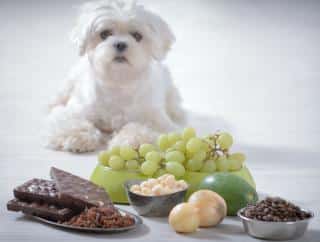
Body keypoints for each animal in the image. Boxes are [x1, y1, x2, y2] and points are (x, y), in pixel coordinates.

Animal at [44, 0, 185, 152]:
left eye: (137, 36)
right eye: (105, 34)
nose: (120, 44)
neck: (118, 80)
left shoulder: (156, 119)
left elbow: (142, 127)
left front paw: (132, 141)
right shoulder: (75, 109)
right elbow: (70, 121)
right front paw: (77, 135)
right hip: (69, 83)